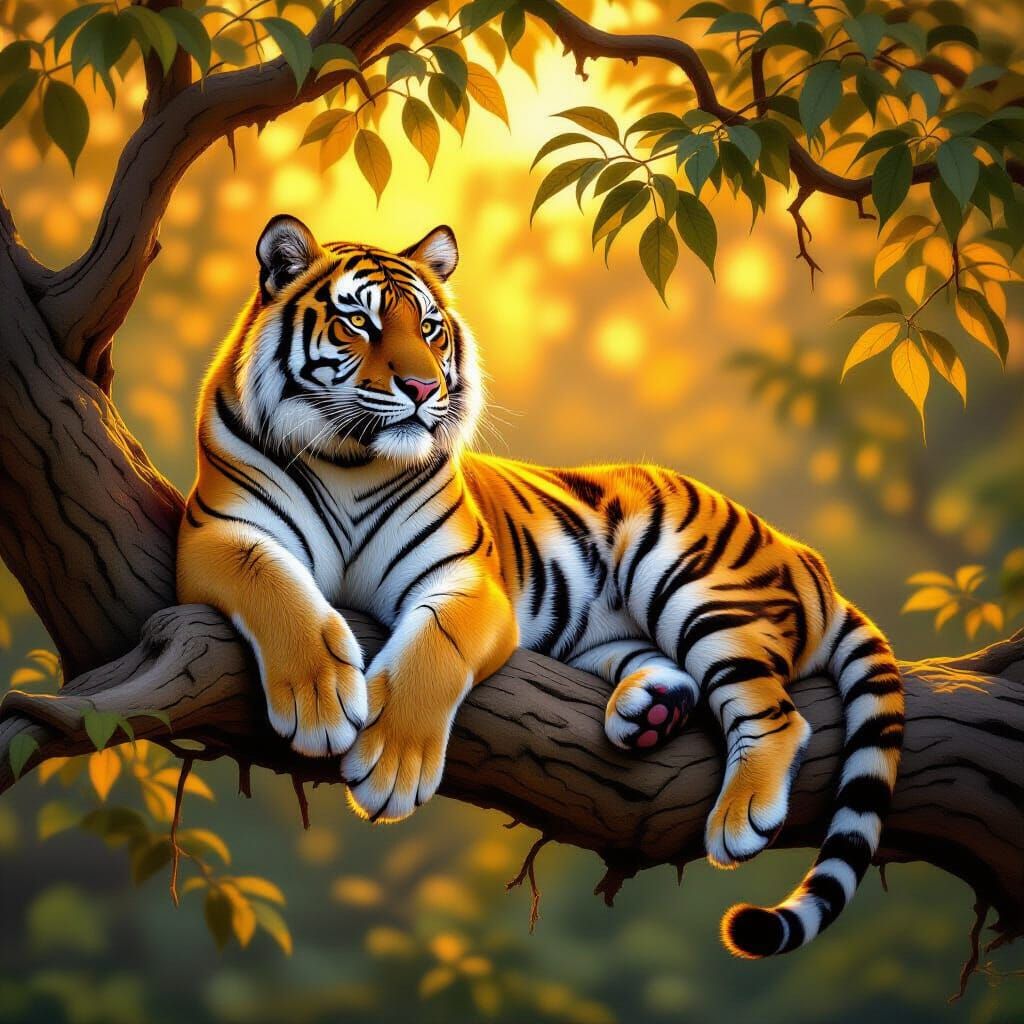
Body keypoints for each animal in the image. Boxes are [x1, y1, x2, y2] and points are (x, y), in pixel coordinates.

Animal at [177, 214, 905, 959]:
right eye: (359, 322)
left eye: (430, 327)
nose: (423, 388)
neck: (352, 459)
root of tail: (804, 555)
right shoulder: (218, 534)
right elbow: (274, 587)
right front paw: (319, 701)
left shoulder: (467, 577)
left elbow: (432, 649)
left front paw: (392, 763)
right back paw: (650, 712)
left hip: (692, 585)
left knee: (778, 713)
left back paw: (741, 815)